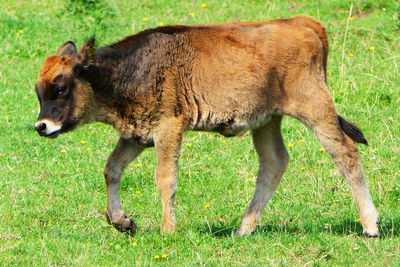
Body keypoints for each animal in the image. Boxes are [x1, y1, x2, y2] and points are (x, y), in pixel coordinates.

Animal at [34, 16, 378, 238]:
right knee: (274, 162)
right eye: (37, 90)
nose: (42, 126)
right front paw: (123, 222)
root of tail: (305, 24)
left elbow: (165, 178)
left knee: (345, 153)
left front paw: (168, 230)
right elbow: (112, 169)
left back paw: (370, 226)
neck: (126, 71)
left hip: (315, 109)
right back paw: (242, 230)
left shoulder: (168, 129)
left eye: (61, 87)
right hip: (267, 121)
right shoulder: (136, 136)